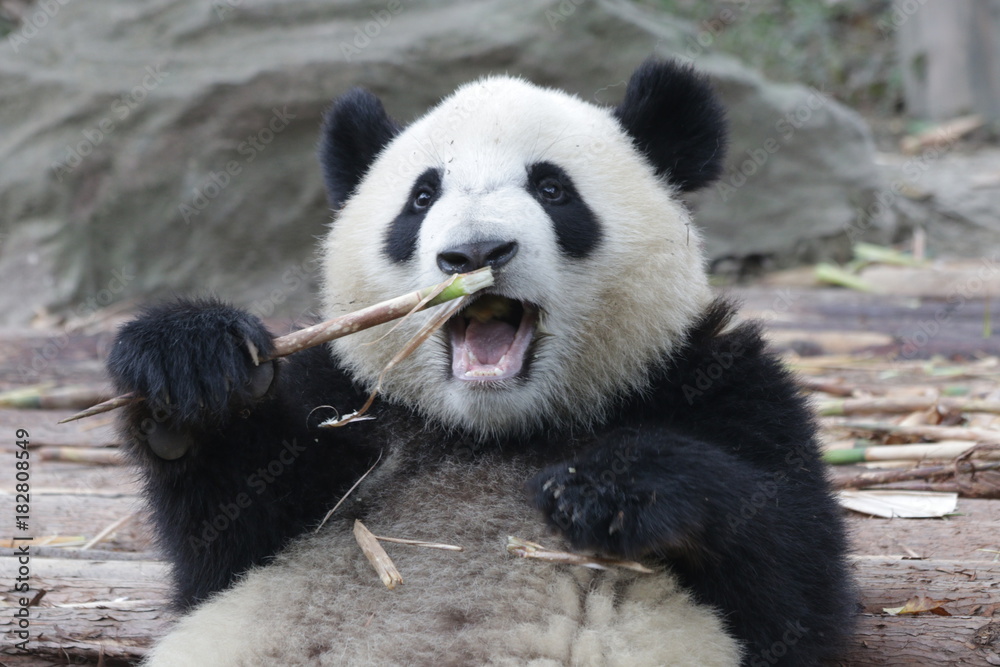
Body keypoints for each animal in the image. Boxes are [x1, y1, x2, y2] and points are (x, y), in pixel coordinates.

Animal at [107, 60, 852, 664]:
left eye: (553, 189)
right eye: (421, 197)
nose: (475, 252)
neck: (492, 432)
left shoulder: (714, 381)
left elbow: (797, 580)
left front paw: (609, 484)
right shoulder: (350, 409)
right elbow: (222, 545)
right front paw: (189, 364)